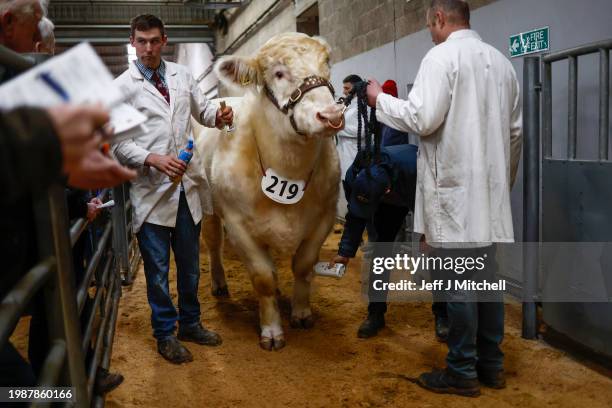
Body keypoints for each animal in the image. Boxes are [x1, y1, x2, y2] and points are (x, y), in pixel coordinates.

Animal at [192, 32, 342, 350]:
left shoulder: (325, 214)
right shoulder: (237, 224)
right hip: (208, 207)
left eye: (327, 64)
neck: (288, 170)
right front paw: (272, 330)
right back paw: (219, 283)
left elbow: (303, 265)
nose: (331, 114)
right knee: (213, 244)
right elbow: (263, 277)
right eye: (278, 73)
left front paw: (301, 313)